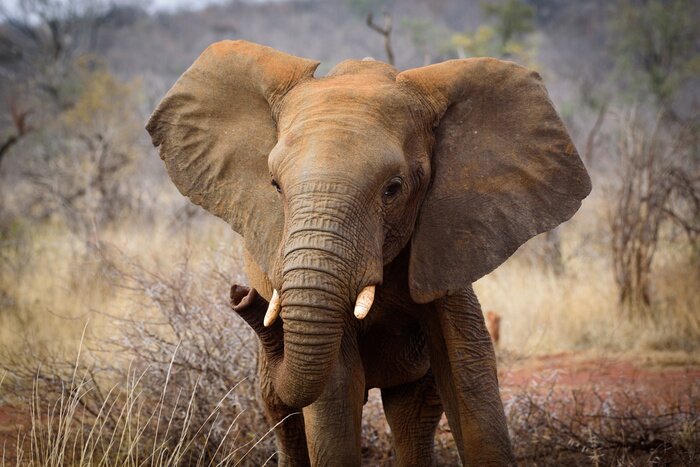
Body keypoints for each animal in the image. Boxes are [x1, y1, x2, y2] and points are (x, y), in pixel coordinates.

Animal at [146, 40, 591, 466]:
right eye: (275, 185)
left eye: (393, 189)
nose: (242, 296)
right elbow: (336, 388)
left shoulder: (447, 244)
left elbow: (468, 369)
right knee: (282, 412)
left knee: (414, 412)